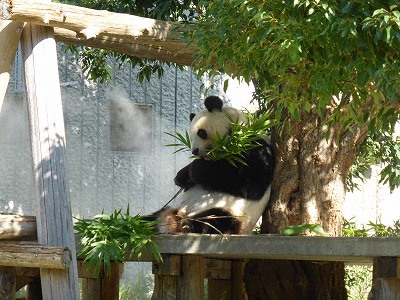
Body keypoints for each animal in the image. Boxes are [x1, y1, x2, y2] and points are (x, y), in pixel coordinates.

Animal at [154, 96, 276, 234]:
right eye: (190, 137)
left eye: (201, 133)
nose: (194, 151)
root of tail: (173, 220)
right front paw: (181, 177)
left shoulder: (257, 149)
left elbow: (248, 183)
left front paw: (196, 170)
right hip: (168, 209)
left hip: (234, 214)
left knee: (217, 219)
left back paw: (188, 225)